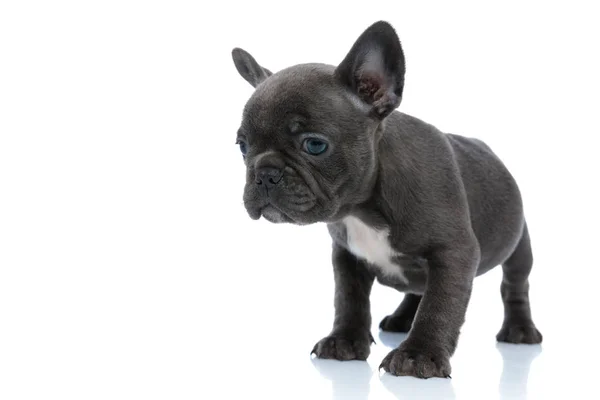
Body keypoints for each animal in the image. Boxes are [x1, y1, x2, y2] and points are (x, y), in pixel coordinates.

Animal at [230, 21, 544, 378]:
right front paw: (344, 340)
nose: (264, 174)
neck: (363, 208)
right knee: (417, 290)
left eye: (314, 145)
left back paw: (519, 329)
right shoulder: (347, 256)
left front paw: (420, 354)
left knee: (514, 284)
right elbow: (349, 299)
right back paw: (402, 319)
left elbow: (440, 303)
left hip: (519, 245)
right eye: (242, 146)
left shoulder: (454, 252)